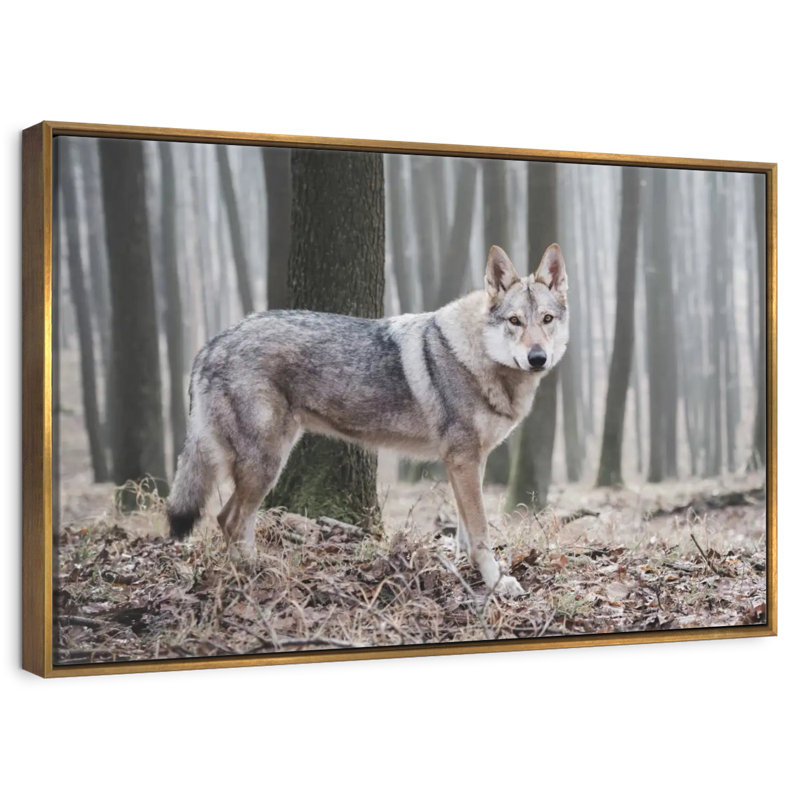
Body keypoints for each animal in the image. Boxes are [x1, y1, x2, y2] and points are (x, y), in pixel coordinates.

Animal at [167, 243, 568, 597]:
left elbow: (466, 532)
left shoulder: (471, 462)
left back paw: (255, 569)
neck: (478, 357)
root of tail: (211, 345)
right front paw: (497, 582)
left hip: (266, 465)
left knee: (229, 519)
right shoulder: (463, 460)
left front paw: (466, 573)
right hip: (266, 465)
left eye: (546, 320)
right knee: (230, 519)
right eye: (515, 321)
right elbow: (482, 532)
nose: (537, 358)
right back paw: (254, 575)